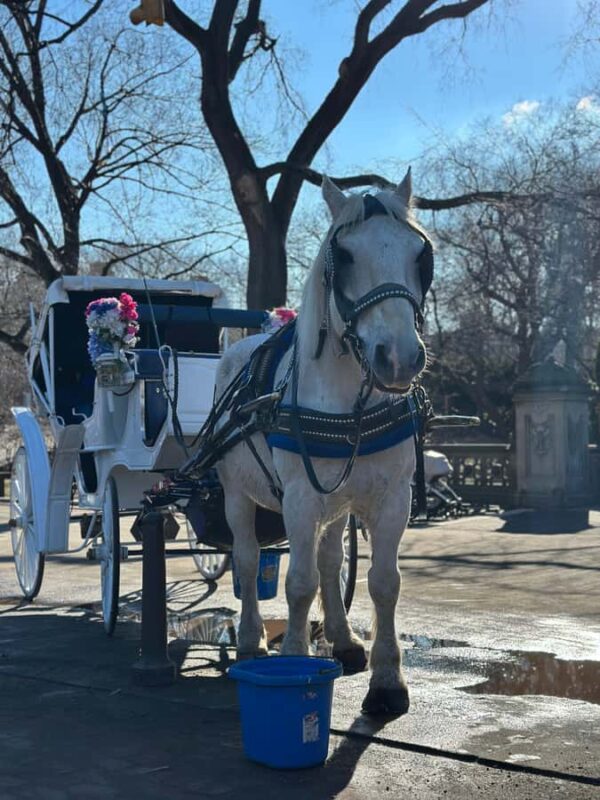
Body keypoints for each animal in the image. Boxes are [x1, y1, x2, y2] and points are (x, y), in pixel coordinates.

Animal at [215, 170, 431, 715]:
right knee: (247, 558)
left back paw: (343, 639)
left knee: (332, 560)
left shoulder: (392, 498)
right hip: (236, 494)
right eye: (346, 255)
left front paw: (387, 679)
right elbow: (298, 582)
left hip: (338, 501)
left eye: (419, 254)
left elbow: (383, 583)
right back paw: (250, 639)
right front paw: (293, 655)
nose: (399, 358)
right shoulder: (300, 498)